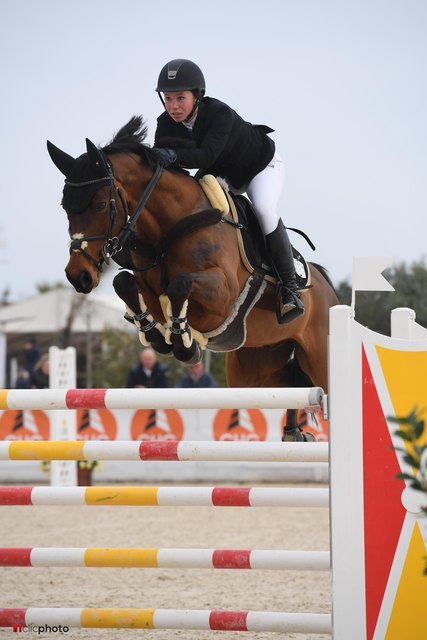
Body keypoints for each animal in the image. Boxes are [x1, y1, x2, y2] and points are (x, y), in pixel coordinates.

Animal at [46, 116, 340, 440]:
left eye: (100, 204)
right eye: (65, 207)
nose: (78, 276)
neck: (170, 228)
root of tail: (329, 291)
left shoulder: (223, 295)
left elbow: (180, 284)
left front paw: (185, 344)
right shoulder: (148, 286)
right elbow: (124, 283)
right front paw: (156, 335)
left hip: (318, 358)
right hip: (256, 369)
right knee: (292, 386)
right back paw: (293, 432)